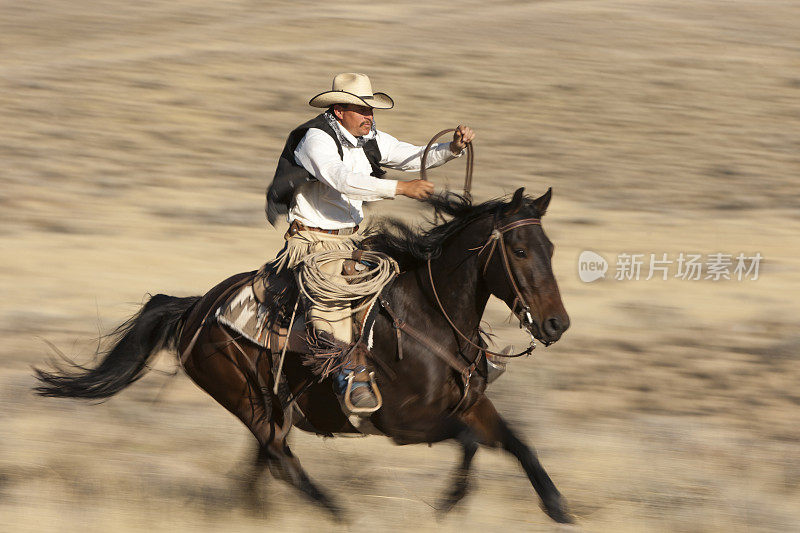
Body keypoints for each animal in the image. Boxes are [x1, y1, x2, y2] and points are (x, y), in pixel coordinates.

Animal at [36, 187, 576, 524]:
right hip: (246, 399)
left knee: (264, 460)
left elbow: (518, 444)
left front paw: (559, 508)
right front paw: (447, 504)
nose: (556, 324)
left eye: (549, 247)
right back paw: (340, 515)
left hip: (275, 406)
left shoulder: (472, 404)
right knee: (279, 460)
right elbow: (470, 443)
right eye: (520, 251)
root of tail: (195, 307)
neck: (433, 320)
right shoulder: (403, 425)